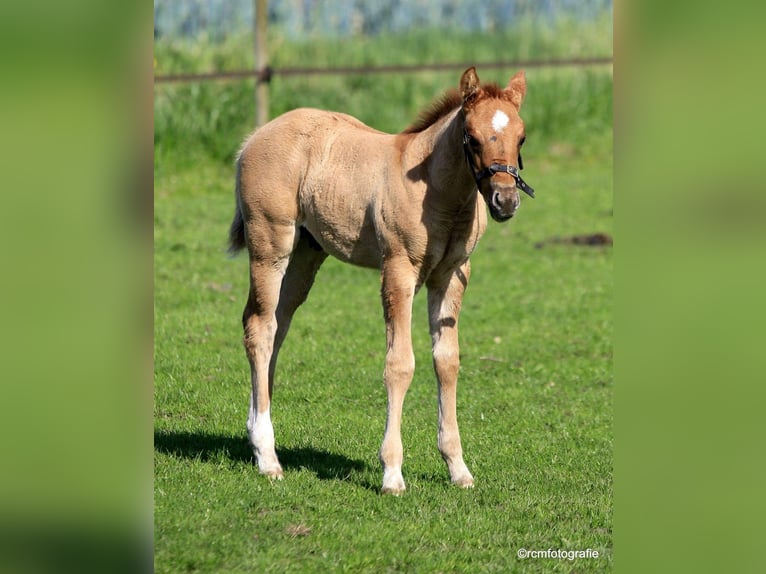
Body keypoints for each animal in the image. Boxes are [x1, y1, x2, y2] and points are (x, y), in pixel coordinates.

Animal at [228, 67, 536, 496]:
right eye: (472, 138)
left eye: (521, 137)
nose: (505, 202)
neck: (437, 190)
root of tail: (253, 138)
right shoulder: (398, 271)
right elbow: (400, 364)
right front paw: (392, 473)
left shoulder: (452, 276)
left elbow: (447, 362)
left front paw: (458, 468)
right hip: (270, 243)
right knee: (259, 326)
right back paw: (267, 458)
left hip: (306, 253)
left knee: (276, 326)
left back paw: (258, 432)